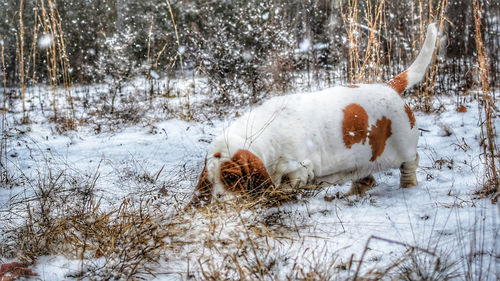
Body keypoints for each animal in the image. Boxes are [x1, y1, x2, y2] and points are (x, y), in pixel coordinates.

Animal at [190, 23, 438, 205]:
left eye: (232, 178)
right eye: (209, 182)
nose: (218, 203)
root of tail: (389, 87)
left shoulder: (300, 168)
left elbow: (287, 183)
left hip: (404, 147)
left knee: (410, 164)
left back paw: (407, 186)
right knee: (365, 179)